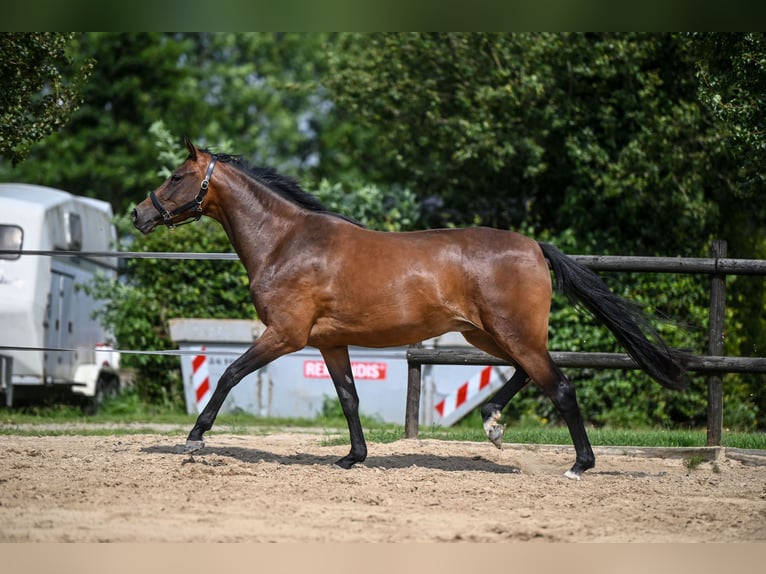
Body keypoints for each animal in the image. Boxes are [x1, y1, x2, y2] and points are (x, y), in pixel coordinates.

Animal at [134, 137, 688, 480]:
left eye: (178, 176)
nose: (140, 214)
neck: (287, 241)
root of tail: (534, 246)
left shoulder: (285, 335)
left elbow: (230, 374)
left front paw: (195, 439)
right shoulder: (329, 342)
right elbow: (349, 397)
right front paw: (353, 458)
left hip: (511, 333)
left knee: (560, 385)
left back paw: (578, 465)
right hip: (487, 334)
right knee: (527, 375)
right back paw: (492, 423)